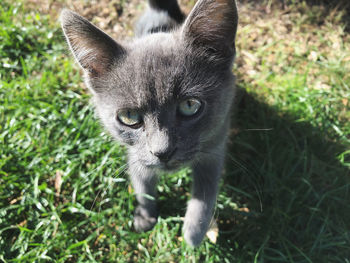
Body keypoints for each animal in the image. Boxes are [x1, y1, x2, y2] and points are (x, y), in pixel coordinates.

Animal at [61, 0, 239, 248]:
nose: (162, 151)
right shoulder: (137, 154)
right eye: (129, 116)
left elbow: (206, 191)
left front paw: (194, 233)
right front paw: (145, 216)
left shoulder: (215, 145)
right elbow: (142, 185)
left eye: (190, 105)